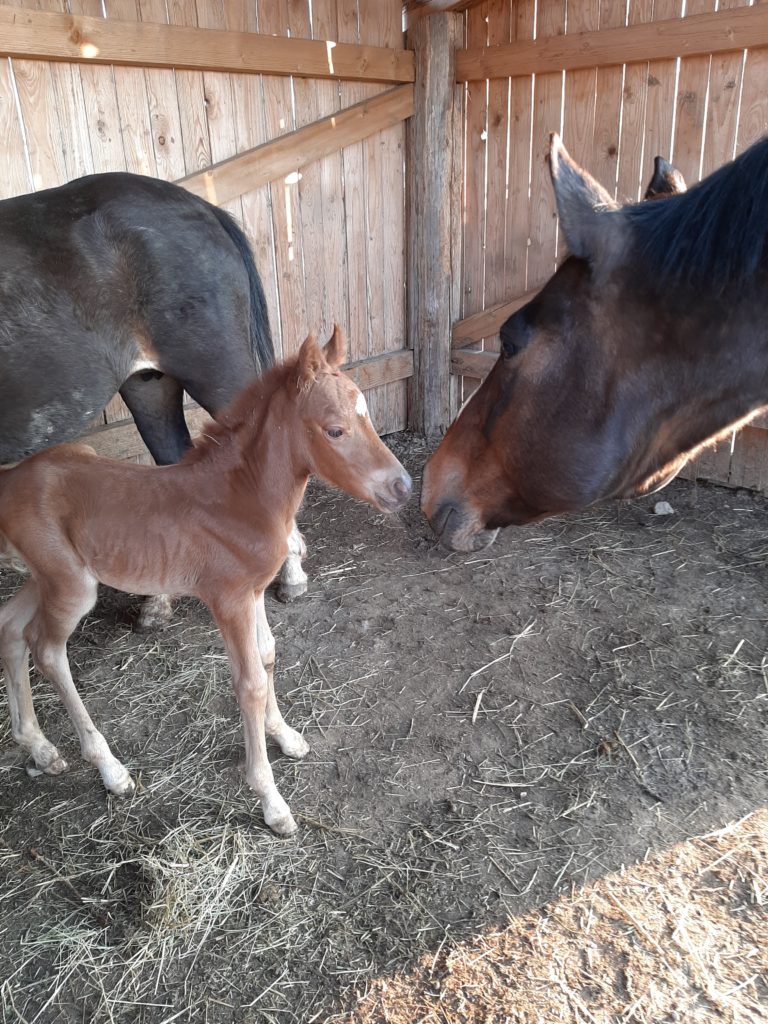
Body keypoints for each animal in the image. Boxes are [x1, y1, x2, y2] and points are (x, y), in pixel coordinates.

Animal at [0, 327, 415, 831]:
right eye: (335, 430)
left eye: (368, 416)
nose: (402, 487)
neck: (240, 498)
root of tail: (9, 482)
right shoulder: (229, 599)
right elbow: (249, 683)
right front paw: (272, 800)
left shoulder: (254, 591)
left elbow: (267, 654)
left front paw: (285, 736)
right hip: (71, 586)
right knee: (46, 650)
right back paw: (110, 769)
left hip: (47, 576)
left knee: (10, 627)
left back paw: (39, 747)